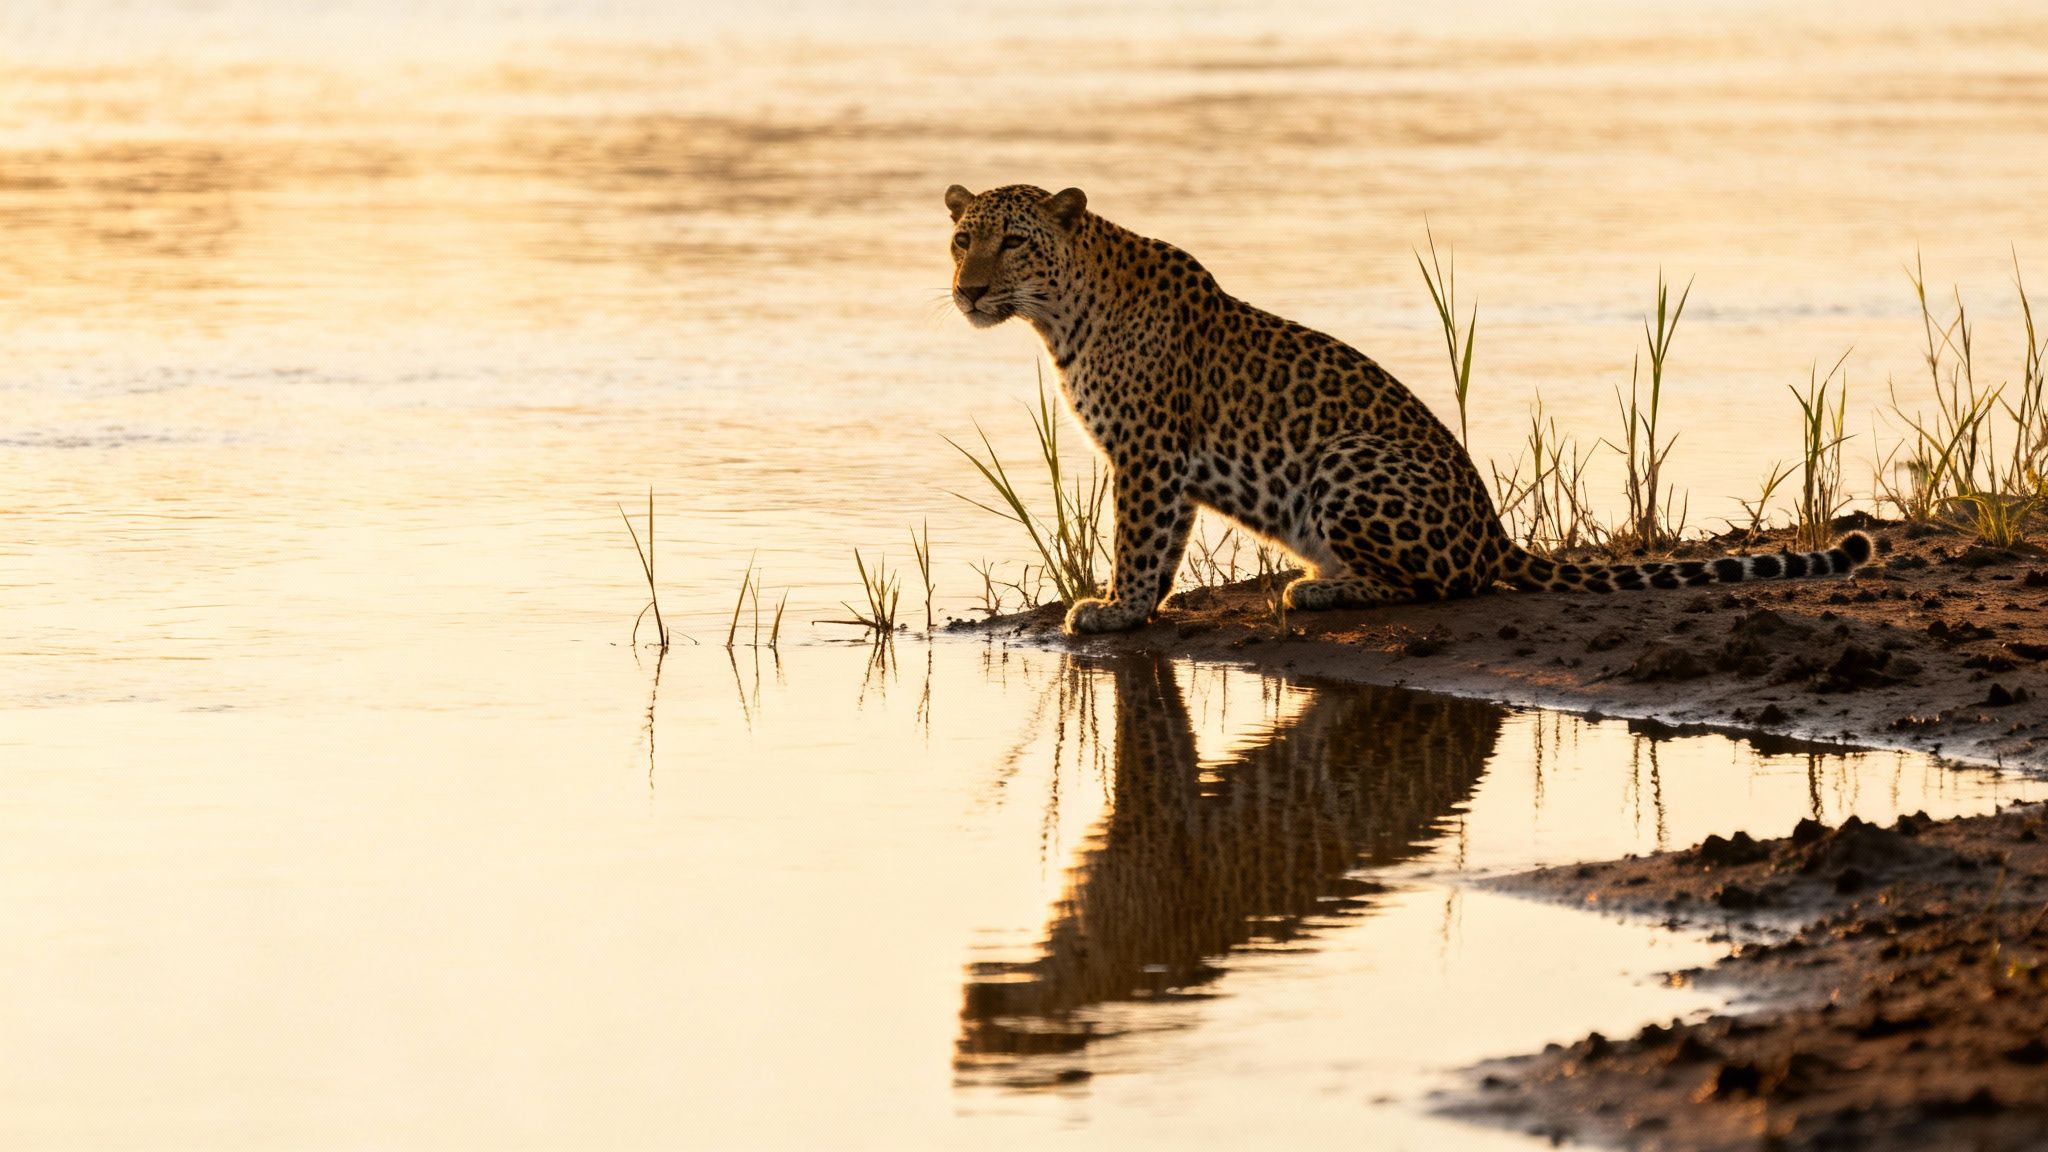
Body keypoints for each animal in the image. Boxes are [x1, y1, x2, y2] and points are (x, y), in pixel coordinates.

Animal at [944, 183, 1873, 635]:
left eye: (1015, 240)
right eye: (962, 239)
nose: (968, 291)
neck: (1060, 315)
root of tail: (1496, 533)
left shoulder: (1147, 455)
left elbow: (1140, 544)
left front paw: (1114, 610)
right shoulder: (1153, 459)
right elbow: (1161, 545)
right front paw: (1129, 608)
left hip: (1348, 461)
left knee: (1440, 586)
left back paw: (1317, 591)